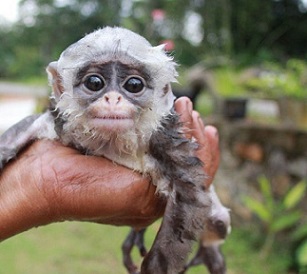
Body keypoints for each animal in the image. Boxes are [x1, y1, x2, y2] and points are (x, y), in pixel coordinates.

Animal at [0, 26, 230, 272]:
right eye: (94, 82)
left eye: (134, 85)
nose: (113, 98)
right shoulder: (58, 122)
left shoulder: (166, 140)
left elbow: (190, 193)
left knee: (219, 222)